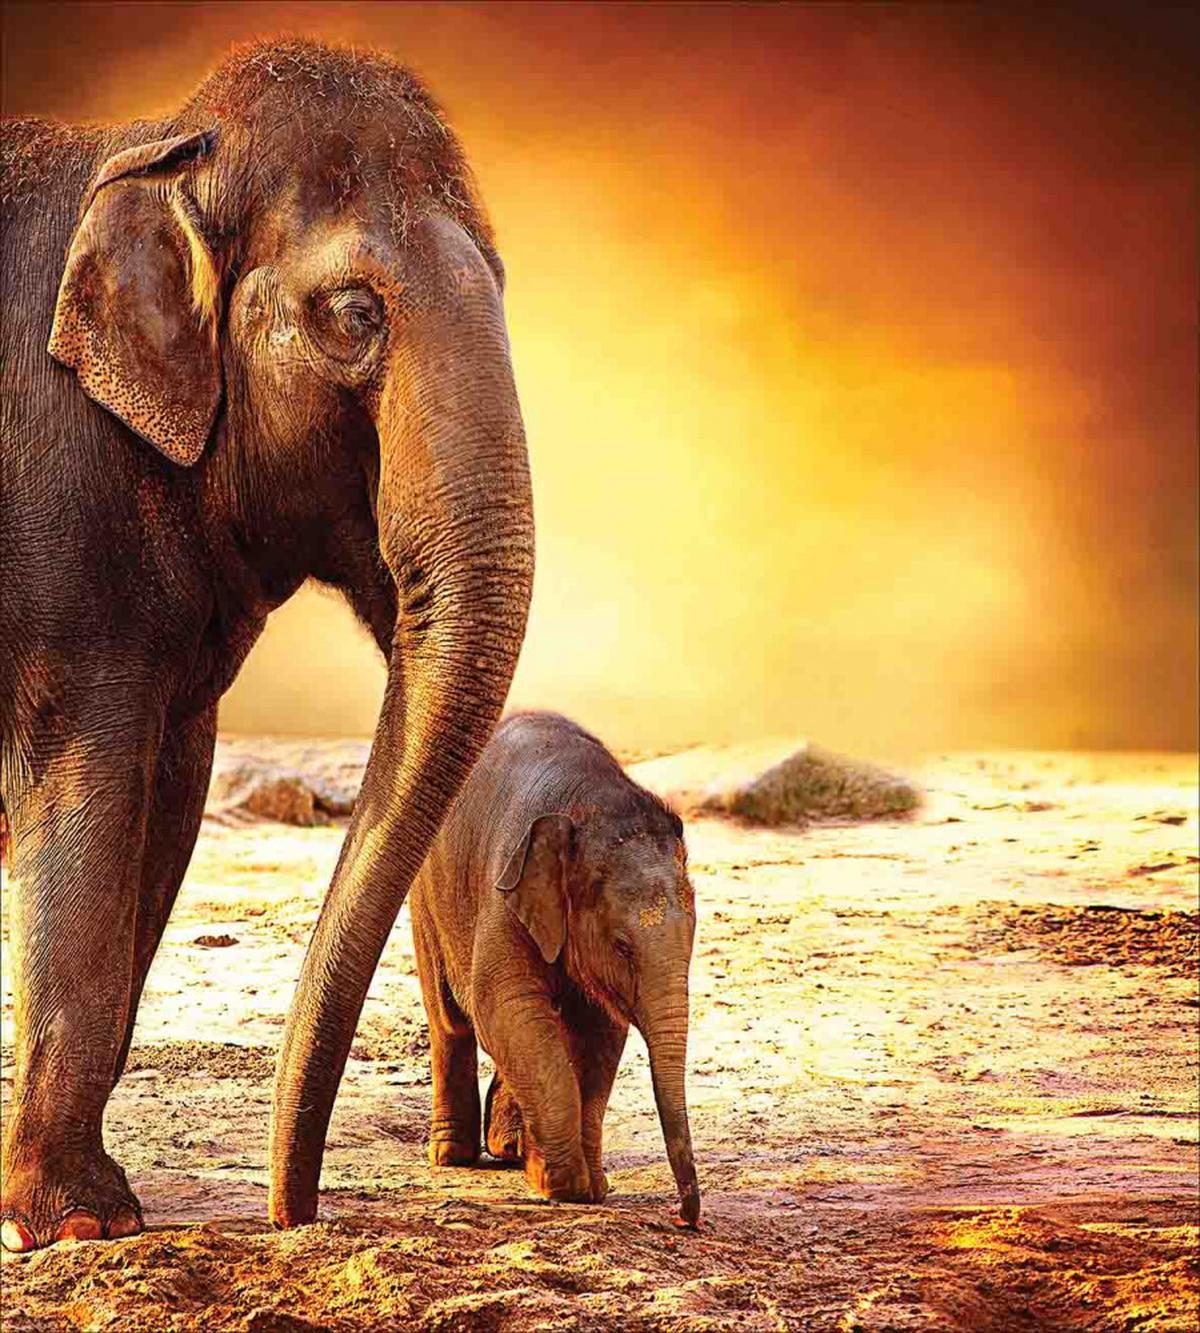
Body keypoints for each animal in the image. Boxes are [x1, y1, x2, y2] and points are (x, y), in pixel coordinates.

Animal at [0, 39, 534, 1251]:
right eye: (354, 312)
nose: (293, 1214)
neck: (154, 144)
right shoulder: (58, 525)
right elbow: (88, 801)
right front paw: (75, 1226)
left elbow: (163, 812)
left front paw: (89, 1208)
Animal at [407, 711, 701, 1227]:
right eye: (621, 946)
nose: (684, 1215)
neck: (589, 802)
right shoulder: (506, 886)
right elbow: (503, 1007)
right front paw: (563, 1186)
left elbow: (598, 1034)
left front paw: (591, 1186)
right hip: (428, 895)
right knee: (449, 1019)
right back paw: (452, 1155)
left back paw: (509, 1148)